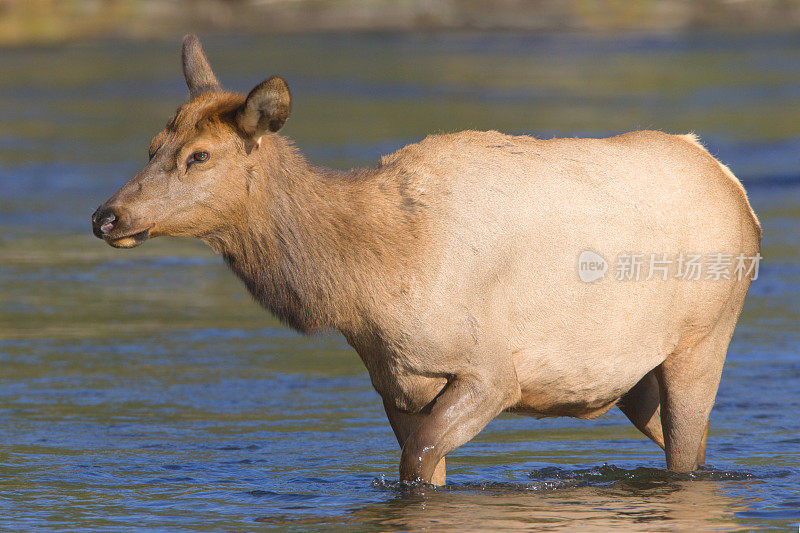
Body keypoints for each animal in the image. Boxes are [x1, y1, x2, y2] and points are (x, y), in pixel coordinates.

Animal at [92, 32, 764, 482]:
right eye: (153, 146)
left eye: (200, 156)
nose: (107, 216)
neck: (364, 284)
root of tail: (732, 183)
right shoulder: (396, 384)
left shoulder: (491, 370)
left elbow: (417, 465)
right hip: (632, 379)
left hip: (703, 337)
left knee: (687, 454)